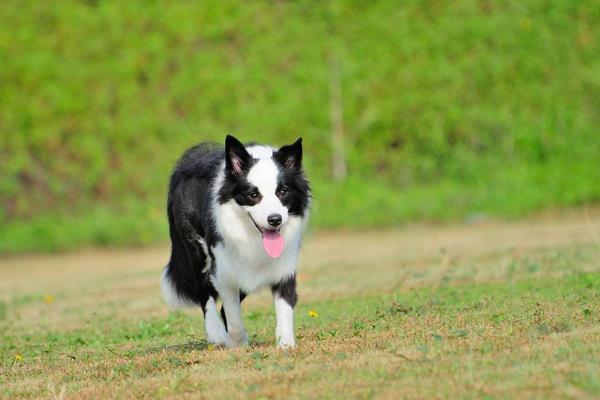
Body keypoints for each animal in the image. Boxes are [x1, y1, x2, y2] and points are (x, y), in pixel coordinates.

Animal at [161, 134, 310, 346]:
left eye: (283, 192)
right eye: (253, 195)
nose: (275, 219)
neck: (252, 237)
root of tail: (186, 161)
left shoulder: (284, 265)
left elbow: (285, 306)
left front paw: (285, 344)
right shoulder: (222, 269)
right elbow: (233, 316)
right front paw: (236, 342)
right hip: (196, 250)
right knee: (205, 294)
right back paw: (216, 333)